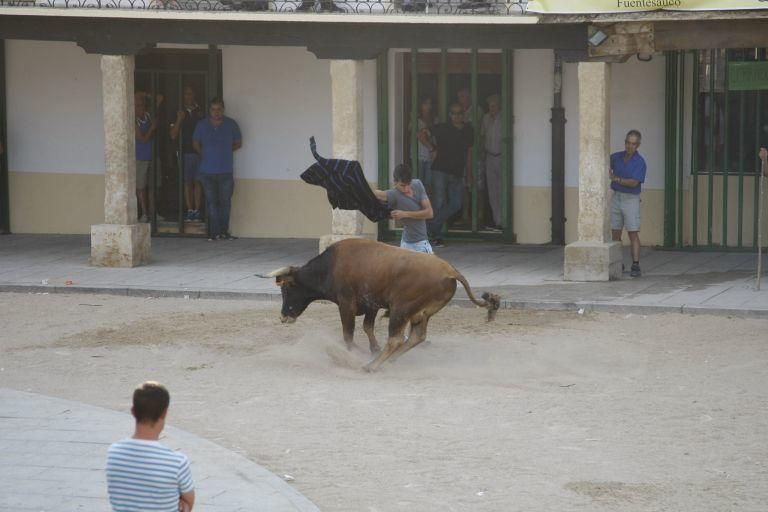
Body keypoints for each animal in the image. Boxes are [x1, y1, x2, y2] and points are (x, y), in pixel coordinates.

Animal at [260, 240, 500, 372]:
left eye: (287, 289)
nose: (283, 316)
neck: (328, 267)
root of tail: (450, 271)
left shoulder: (346, 304)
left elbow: (349, 334)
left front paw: (353, 354)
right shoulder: (372, 305)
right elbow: (368, 327)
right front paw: (372, 349)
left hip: (401, 309)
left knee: (396, 339)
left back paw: (371, 366)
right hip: (422, 314)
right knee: (416, 337)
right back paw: (387, 360)